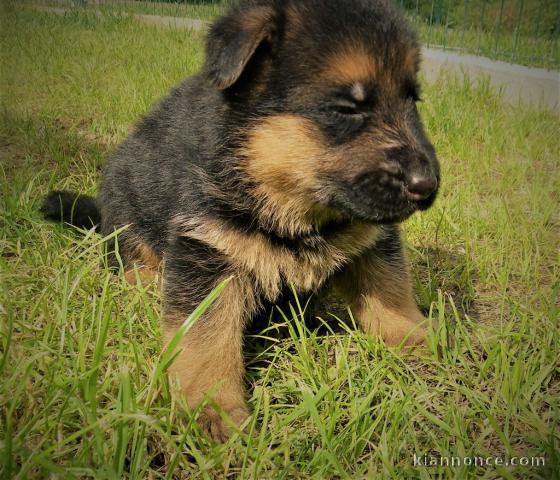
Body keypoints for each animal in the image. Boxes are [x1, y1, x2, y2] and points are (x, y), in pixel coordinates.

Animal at [41, 0, 440, 440]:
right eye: (346, 108)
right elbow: (206, 339)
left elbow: (390, 290)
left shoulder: (371, 236)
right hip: (126, 200)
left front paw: (417, 339)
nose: (427, 185)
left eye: (412, 99)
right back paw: (143, 280)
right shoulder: (206, 251)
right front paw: (212, 408)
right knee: (127, 252)